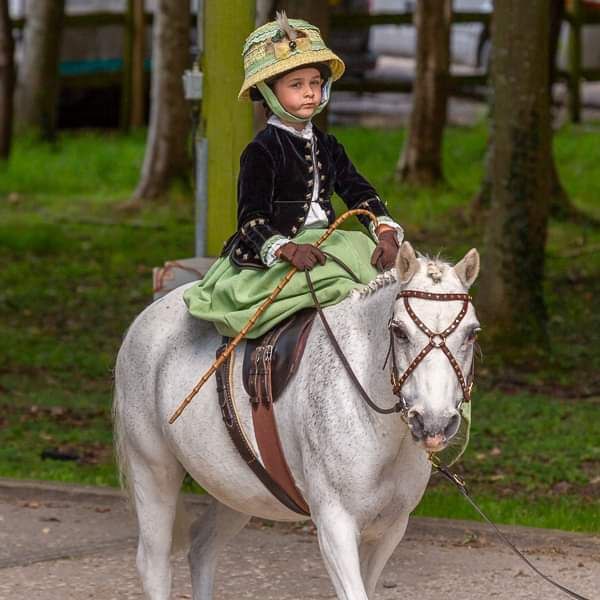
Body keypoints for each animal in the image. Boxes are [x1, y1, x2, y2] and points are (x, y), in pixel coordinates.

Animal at [111, 243, 478, 600]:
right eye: (399, 331)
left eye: (472, 333)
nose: (433, 423)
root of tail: (145, 318)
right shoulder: (335, 524)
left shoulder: (390, 528)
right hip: (154, 470)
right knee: (154, 564)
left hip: (239, 486)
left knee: (202, 548)